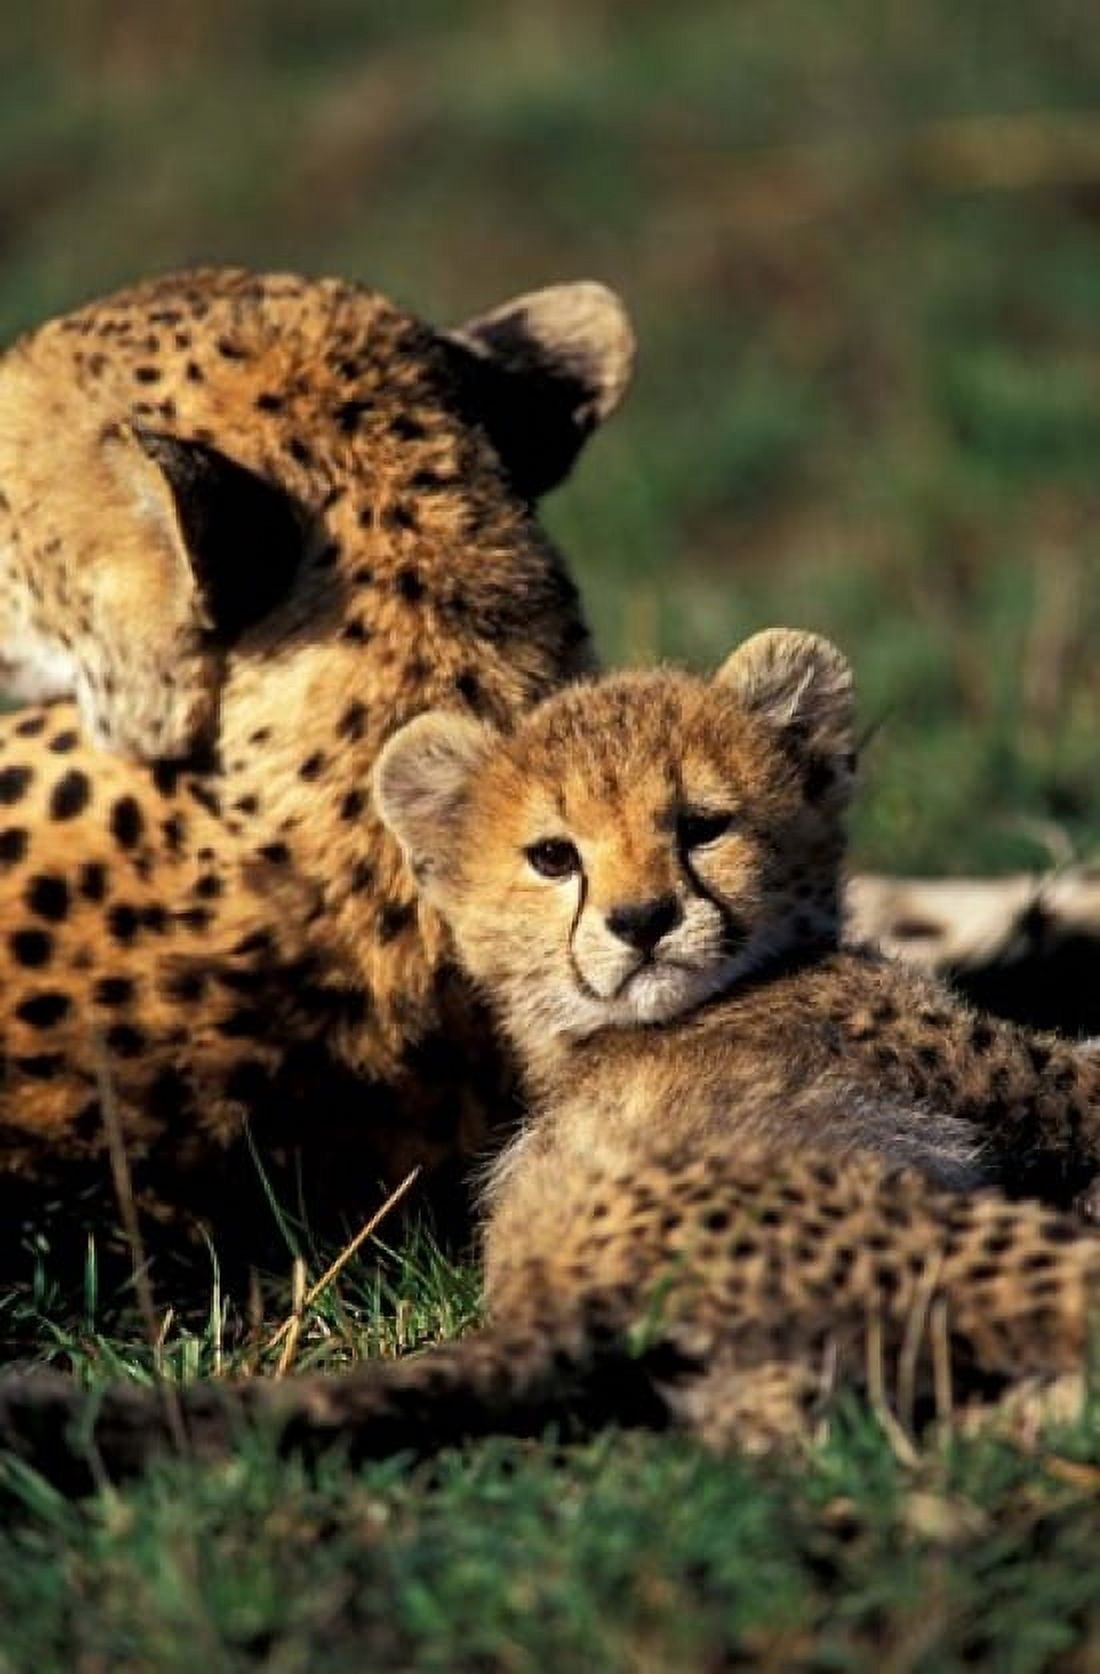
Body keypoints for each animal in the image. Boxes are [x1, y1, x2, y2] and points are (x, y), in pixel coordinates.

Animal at [3, 628, 1097, 1489]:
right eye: (553, 857)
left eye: (702, 827)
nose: (642, 921)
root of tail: (545, 1292)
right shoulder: (999, 1078)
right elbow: (1081, 1073)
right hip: (923, 1229)